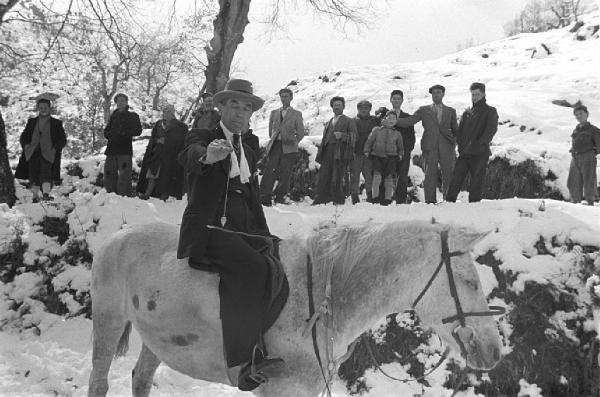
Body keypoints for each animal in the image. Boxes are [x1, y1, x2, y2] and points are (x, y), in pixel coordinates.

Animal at [88, 221, 502, 394]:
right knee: (99, 380)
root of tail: (119, 234)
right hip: (108, 321)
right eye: (471, 282)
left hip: (155, 340)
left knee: (140, 378)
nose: (494, 350)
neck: (323, 303)